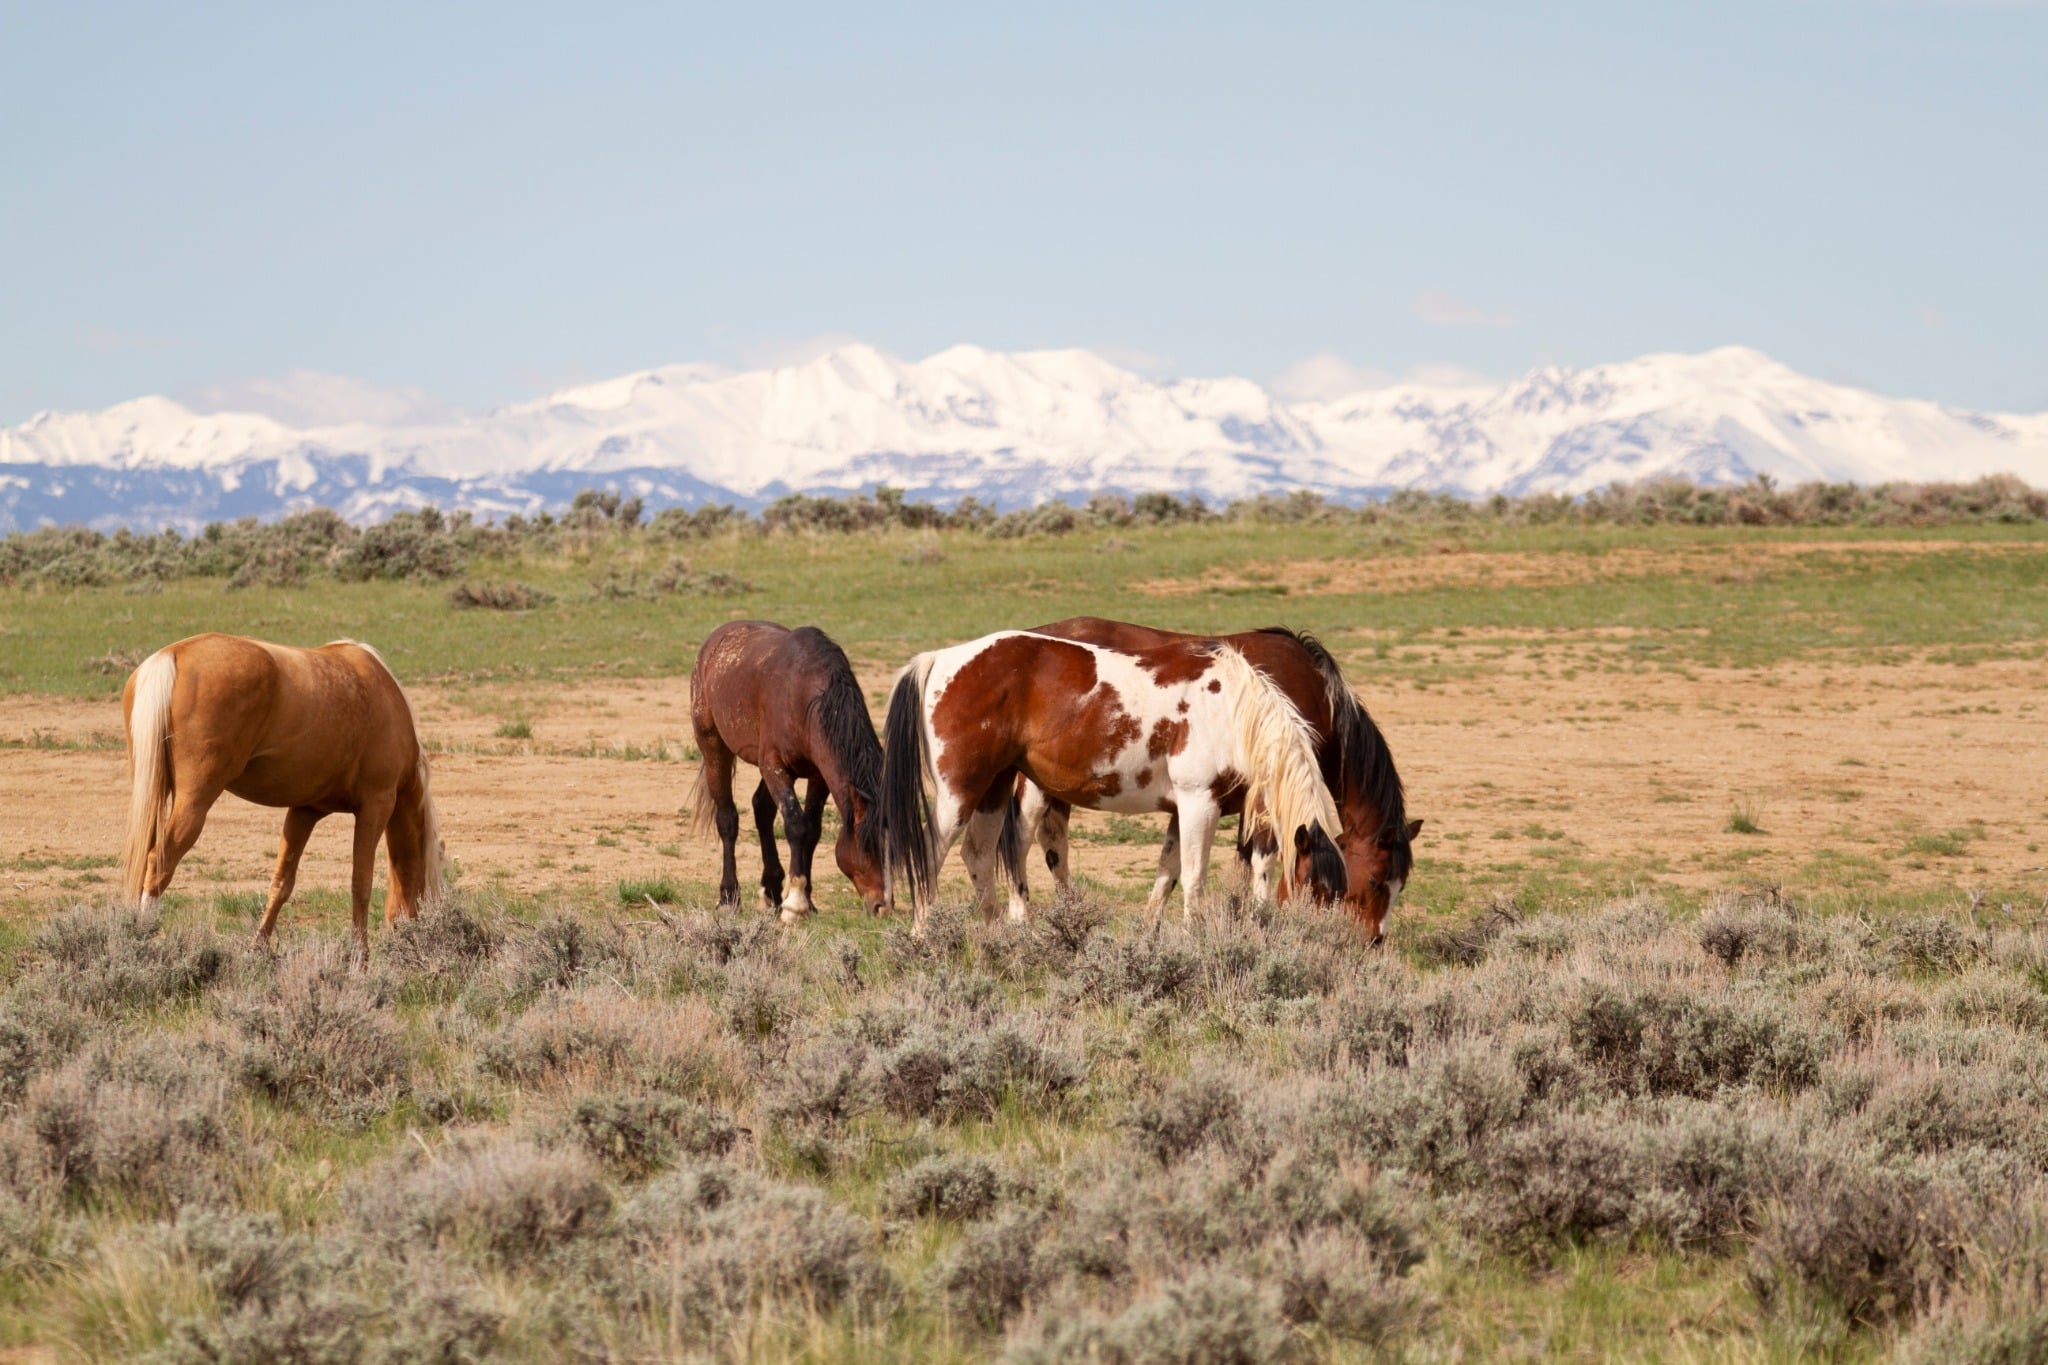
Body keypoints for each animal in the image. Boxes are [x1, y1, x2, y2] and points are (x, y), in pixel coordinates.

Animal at [121, 633, 445, 956]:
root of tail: (173, 654)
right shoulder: (375, 807)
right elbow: (361, 883)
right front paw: (360, 955)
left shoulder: (305, 811)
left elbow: (282, 882)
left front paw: (258, 948)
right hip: (194, 802)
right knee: (158, 865)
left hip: (153, 796)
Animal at [688, 621, 888, 920]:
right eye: (866, 844)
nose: (882, 906)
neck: (805, 696)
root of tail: (715, 640)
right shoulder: (775, 766)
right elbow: (796, 826)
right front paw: (795, 904)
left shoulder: (819, 775)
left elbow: (812, 830)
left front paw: (807, 900)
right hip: (714, 747)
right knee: (727, 819)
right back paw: (729, 897)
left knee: (761, 809)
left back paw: (771, 890)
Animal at [878, 630, 1346, 932]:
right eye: (1316, 887)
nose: (1329, 943)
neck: (1232, 711)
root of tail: (941, 658)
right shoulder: (1199, 803)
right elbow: (1194, 878)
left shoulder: (1182, 811)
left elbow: (1167, 874)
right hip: (960, 791)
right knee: (932, 853)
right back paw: (924, 936)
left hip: (995, 785)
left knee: (977, 854)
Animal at [1009, 620, 1420, 943]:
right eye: (1375, 881)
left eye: (1400, 884)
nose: (1374, 940)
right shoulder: (1258, 804)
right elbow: (1259, 864)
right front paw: (1255, 922)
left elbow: (1175, 869)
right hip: (1034, 788)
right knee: (1023, 842)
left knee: (1054, 844)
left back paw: (1070, 915)